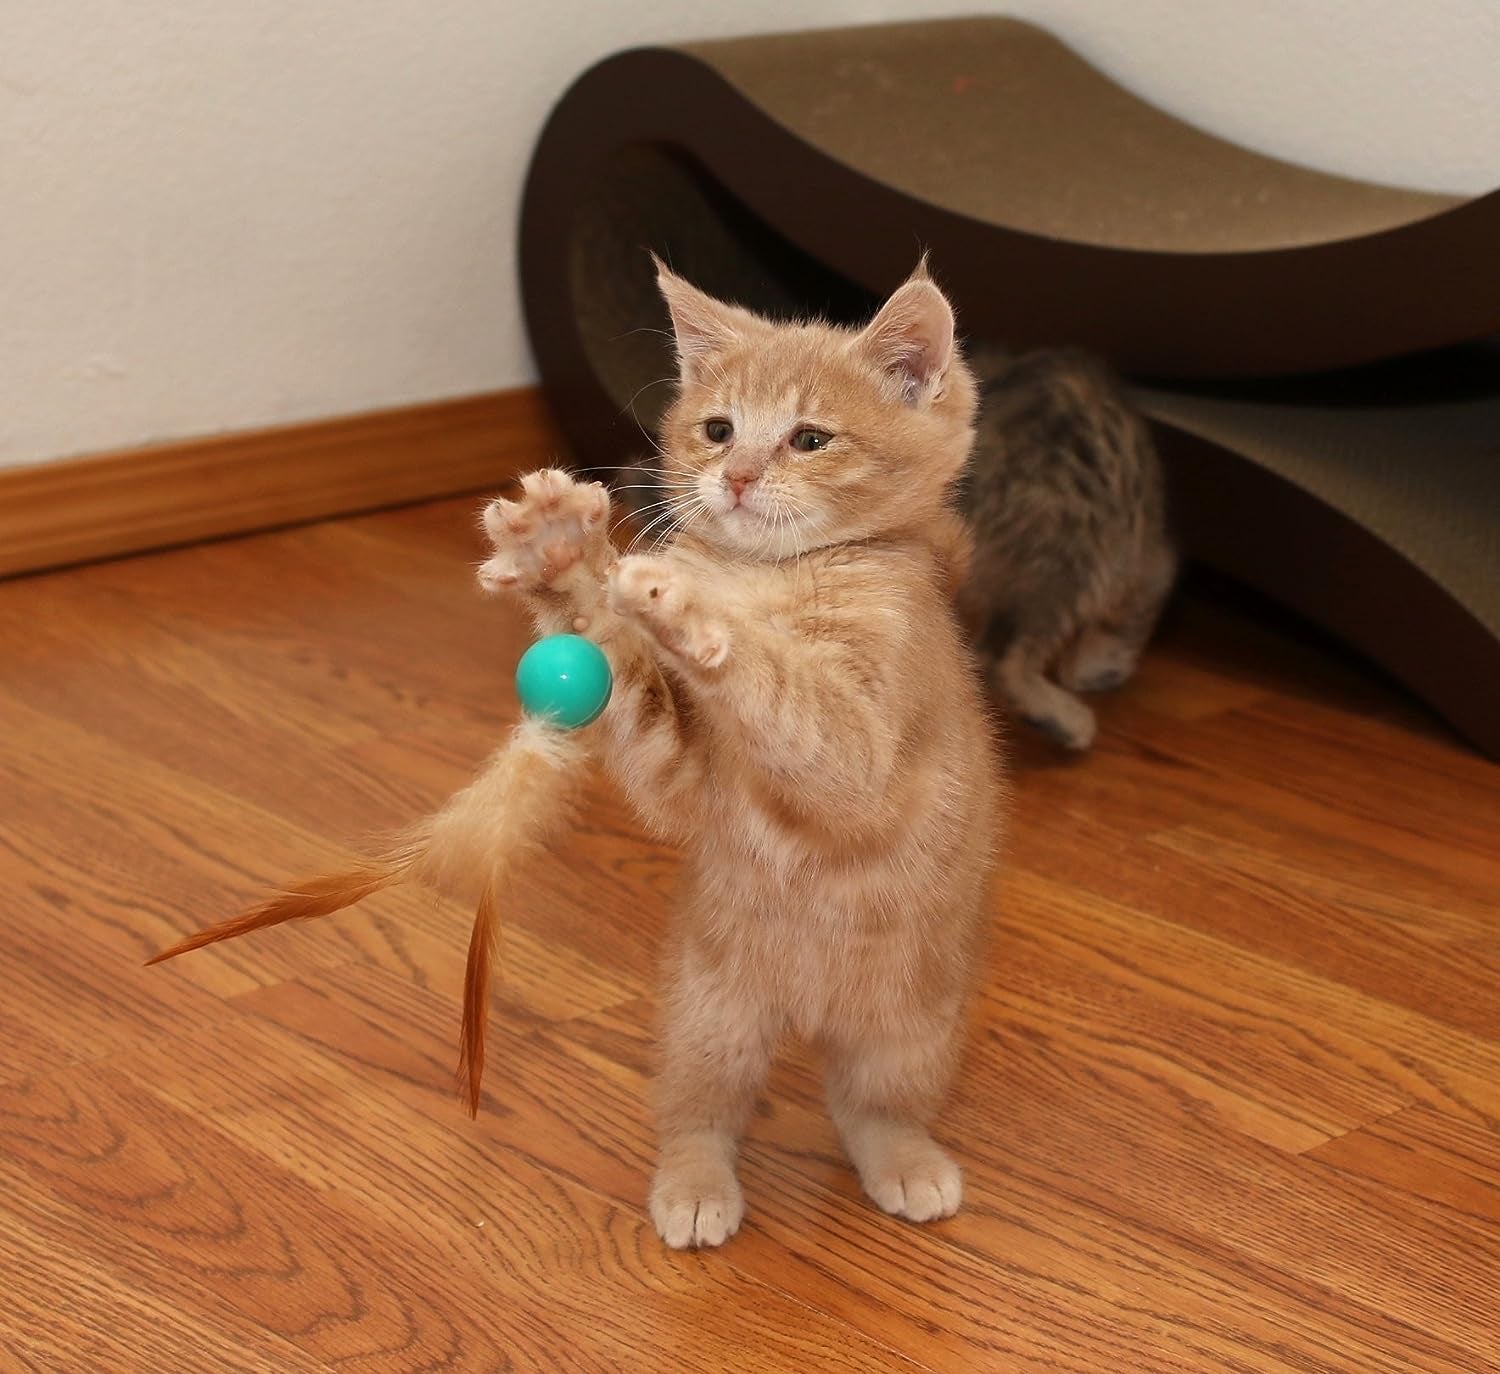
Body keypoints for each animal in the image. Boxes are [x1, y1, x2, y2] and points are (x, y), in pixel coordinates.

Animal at [480, 258, 1002, 1248]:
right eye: (719, 429)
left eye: (809, 439)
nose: (737, 476)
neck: (779, 580)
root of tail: (807, 1015)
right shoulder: (687, 777)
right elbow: (636, 693)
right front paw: (563, 560)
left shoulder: (862, 750)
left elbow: (786, 692)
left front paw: (688, 604)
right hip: (708, 1011)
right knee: (701, 1108)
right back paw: (693, 1182)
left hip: (909, 1027)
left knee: (868, 1103)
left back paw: (905, 1161)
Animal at [954, 346, 1176, 750]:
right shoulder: (1149, 564)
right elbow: (1132, 620)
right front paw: (1096, 668)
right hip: (1074, 548)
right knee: (1005, 661)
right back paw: (1067, 720)